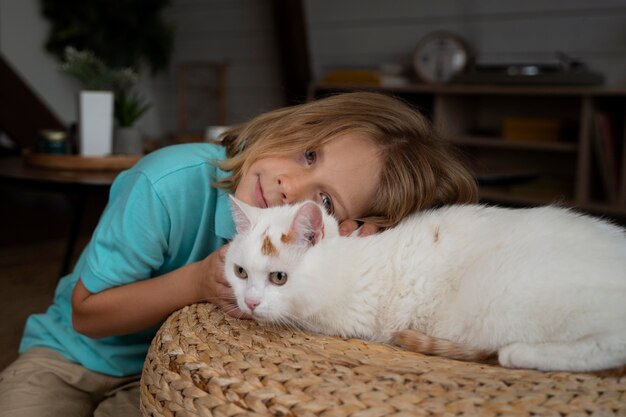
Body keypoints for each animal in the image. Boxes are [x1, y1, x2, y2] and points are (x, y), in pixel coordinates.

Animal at [223, 197, 624, 372]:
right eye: (240, 272)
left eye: (279, 277)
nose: (251, 302)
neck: (346, 264)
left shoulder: (347, 318)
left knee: (609, 345)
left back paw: (518, 354)